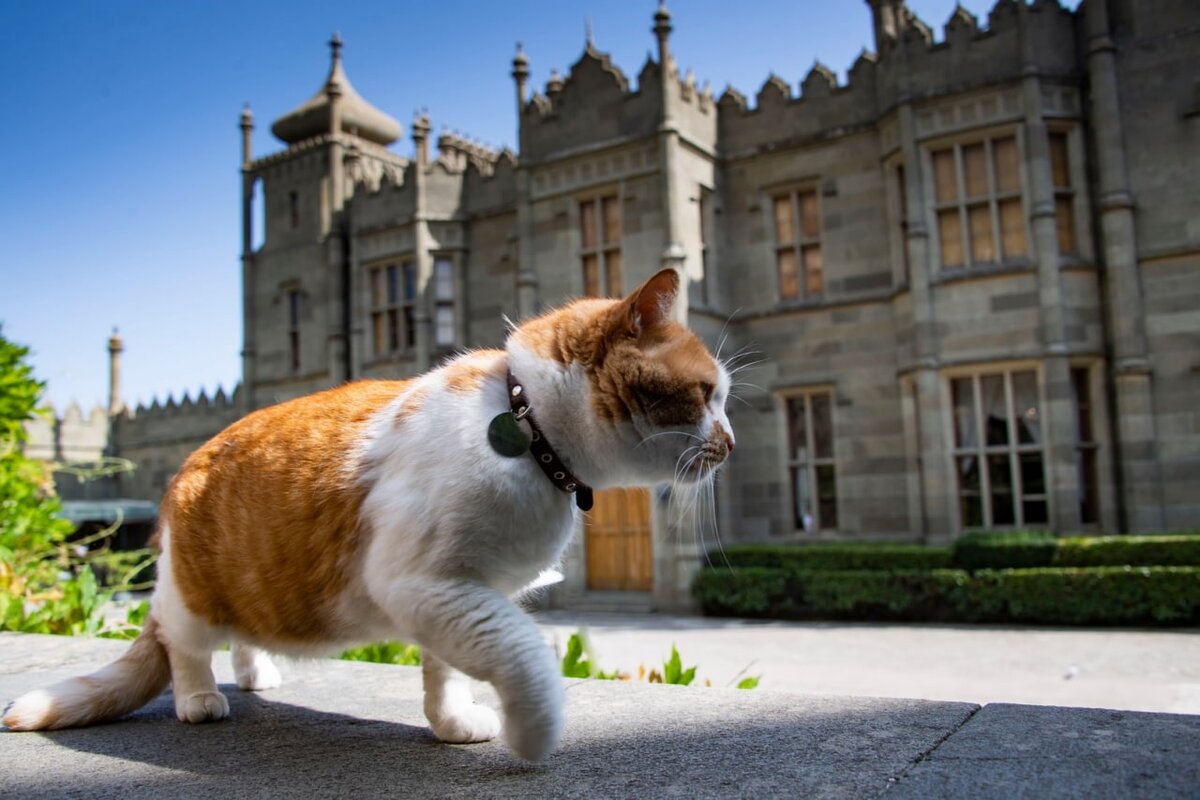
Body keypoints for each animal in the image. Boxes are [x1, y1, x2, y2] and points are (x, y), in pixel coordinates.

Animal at [2, 266, 729, 762]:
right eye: (706, 394)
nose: (731, 442)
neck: (530, 429)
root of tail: (186, 467)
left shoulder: (456, 593)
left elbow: (447, 668)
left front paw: (452, 721)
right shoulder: (424, 584)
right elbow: (520, 652)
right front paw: (533, 729)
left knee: (241, 631)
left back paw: (256, 672)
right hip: (190, 594)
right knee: (185, 645)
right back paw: (199, 698)